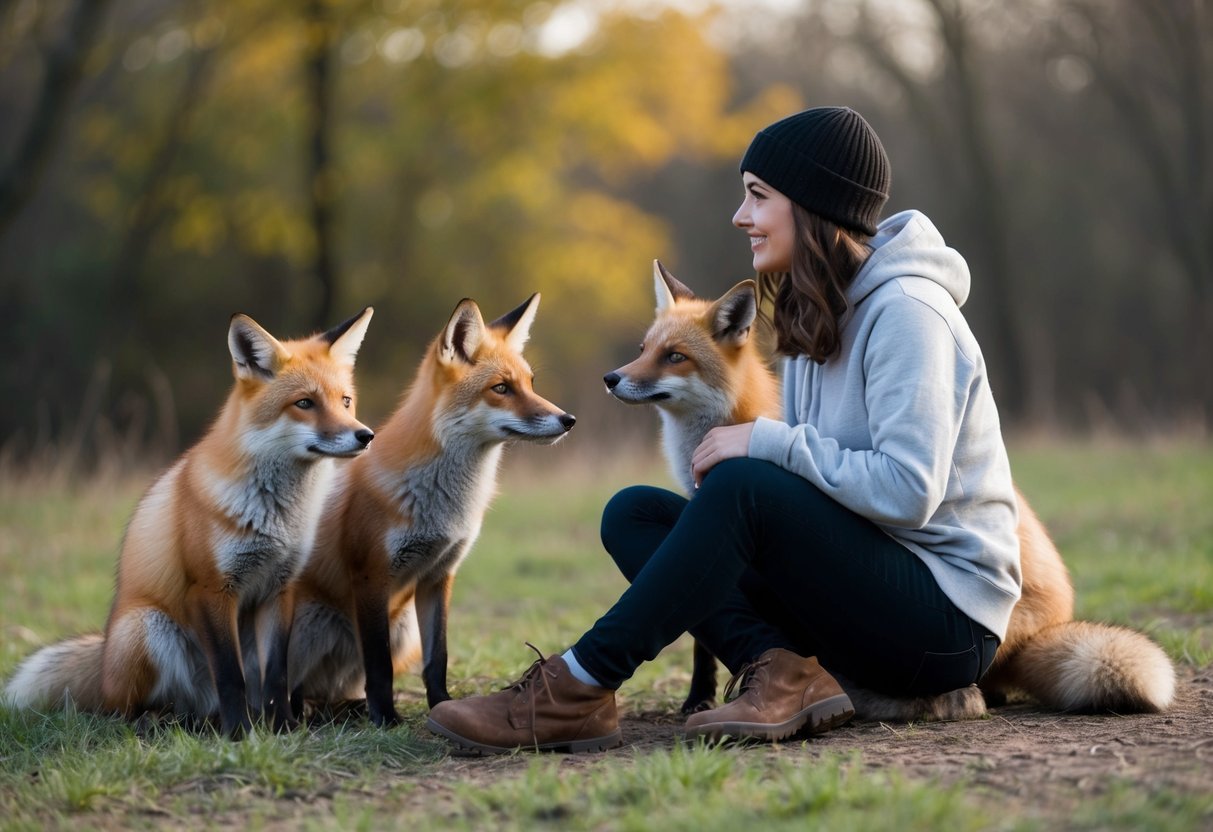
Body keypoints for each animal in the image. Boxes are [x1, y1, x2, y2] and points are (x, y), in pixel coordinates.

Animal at [4, 309, 375, 738]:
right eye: (304, 403)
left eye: (345, 401)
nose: (365, 435)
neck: (276, 515)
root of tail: (103, 658)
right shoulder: (211, 589)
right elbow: (229, 676)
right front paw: (239, 735)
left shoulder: (279, 589)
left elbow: (277, 677)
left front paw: (281, 728)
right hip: (147, 628)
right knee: (120, 710)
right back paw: (164, 721)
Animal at [287, 293, 576, 727]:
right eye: (501, 388)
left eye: (530, 384)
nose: (568, 419)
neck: (443, 505)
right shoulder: (371, 575)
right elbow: (379, 666)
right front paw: (386, 718)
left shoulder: (439, 574)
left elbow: (436, 658)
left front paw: (442, 706)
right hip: (310, 622)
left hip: (401, 626)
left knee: (332, 691)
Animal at [604, 261, 1176, 721]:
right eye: (643, 350)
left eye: (675, 357)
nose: (611, 378)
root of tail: (1050, 622)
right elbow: (699, 637)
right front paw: (697, 697)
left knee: (974, 689)